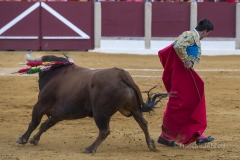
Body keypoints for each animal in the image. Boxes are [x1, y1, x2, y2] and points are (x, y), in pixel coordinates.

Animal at [15, 52, 170, 153]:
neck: (55, 73)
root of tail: (121, 73)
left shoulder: (40, 105)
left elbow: (34, 122)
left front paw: (23, 139)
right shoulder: (58, 114)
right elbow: (45, 125)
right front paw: (34, 140)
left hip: (100, 111)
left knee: (104, 131)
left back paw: (90, 148)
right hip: (134, 108)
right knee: (143, 123)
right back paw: (151, 144)